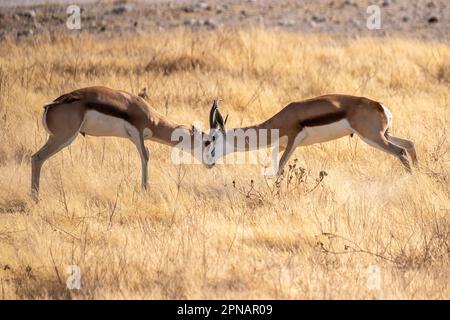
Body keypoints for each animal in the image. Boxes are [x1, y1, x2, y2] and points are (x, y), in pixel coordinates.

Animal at [30, 86, 215, 199]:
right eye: (207, 142)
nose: (211, 164)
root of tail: (51, 105)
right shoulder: (138, 134)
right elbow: (145, 156)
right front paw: (145, 190)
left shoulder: (135, 138)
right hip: (64, 137)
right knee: (38, 158)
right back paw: (35, 198)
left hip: (54, 138)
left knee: (35, 157)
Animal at [206, 95, 416, 175]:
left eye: (211, 139)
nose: (208, 163)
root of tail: (380, 106)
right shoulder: (279, 146)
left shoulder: (292, 141)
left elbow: (280, 168)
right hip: (385, 135)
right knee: (410, 144)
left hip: (373, 137)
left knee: (401, 152)